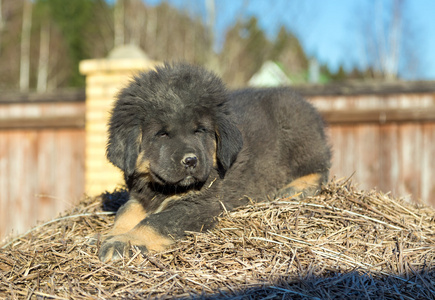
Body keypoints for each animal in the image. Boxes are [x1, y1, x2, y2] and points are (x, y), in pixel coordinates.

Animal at [98, 62, 330, 262]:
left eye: (200, 130)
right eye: (162, 134)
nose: (191, 161)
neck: (160, 188)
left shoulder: (200, 206)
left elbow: (156, 222)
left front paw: (124, 241)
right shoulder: (140, 196)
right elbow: (125, 211)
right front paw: (107, 235)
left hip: (298, 134)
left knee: (320, 167)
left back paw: (297, 188)